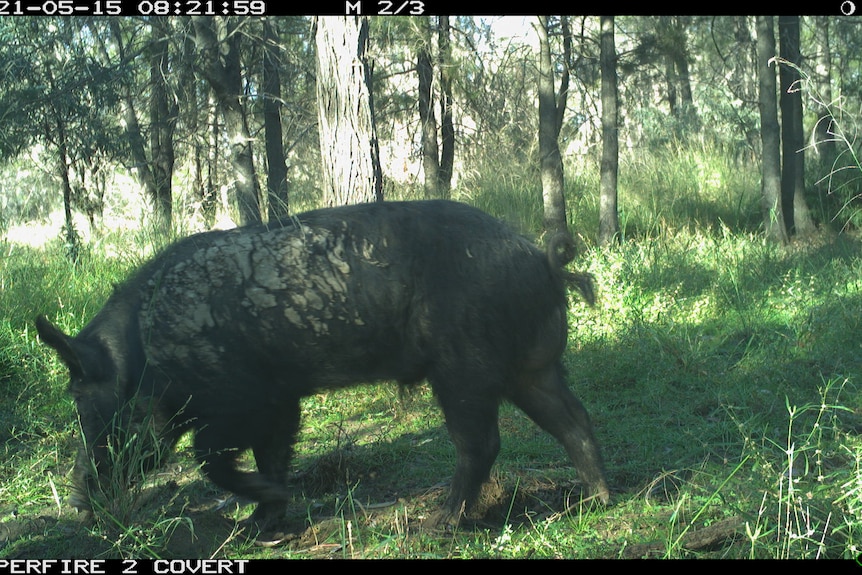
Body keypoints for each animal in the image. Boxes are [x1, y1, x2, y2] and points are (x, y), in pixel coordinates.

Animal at [37, 199, 612, 532]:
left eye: (86, 405)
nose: (81, 502)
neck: (147, 350)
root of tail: (541, 257)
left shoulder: (237, 400)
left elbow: (210, 459)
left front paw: (266, 506)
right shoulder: (279, 399)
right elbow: (272, 452)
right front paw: (263, 523)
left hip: (463, 366)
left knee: (482, 442)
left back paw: (438, 523)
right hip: (531, 367)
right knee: (574, 419)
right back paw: (598, 499)